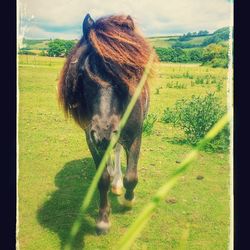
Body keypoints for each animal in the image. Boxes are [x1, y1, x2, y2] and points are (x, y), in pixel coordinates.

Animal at [57, 12, 157, 233]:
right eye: (83, 73)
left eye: (127, 72)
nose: (103, 132)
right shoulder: (91, 138)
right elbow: (102, 179)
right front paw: (103, 219)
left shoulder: (135, 135)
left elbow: (131, 176)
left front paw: (128, 201)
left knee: (118, 151)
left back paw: (118, 183)